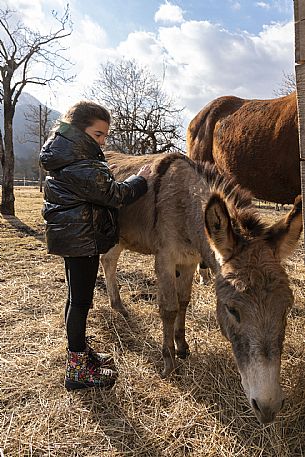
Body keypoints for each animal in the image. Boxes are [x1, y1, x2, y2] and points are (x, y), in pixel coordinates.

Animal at [101, 151, 300, 424]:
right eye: (231, 310)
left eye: (287, 309)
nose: (268, 408)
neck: (185, 205)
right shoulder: (165, 258)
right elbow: (169, 308)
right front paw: (169, 364)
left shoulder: (189, 260)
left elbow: (184, 302)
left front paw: (182, 346)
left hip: (119, 236)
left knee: (108, 261)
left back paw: (118, 307)